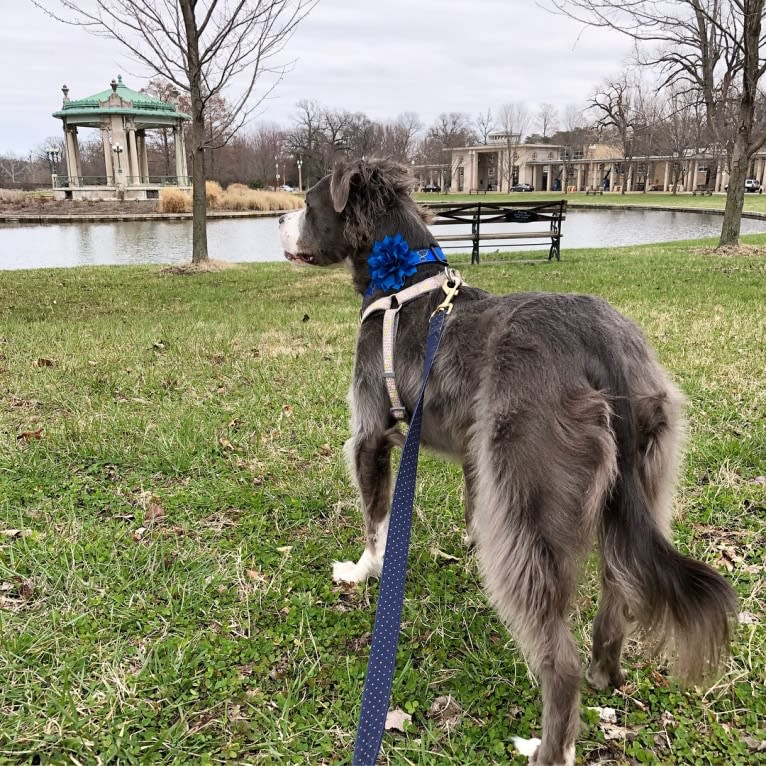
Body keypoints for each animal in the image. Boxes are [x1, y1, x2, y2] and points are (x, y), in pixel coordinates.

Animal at [280, 159, 740, 764]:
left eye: (310, 205)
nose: (278, 220)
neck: (400, 283)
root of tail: (598, 346)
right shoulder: (475, 458)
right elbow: (473, 509)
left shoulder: (371, 436)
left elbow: (376, 521)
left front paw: (362, 571)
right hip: (641, 480)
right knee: (620, 591)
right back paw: (602, 680)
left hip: (529, 492)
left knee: (558, 662)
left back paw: (547, 748)